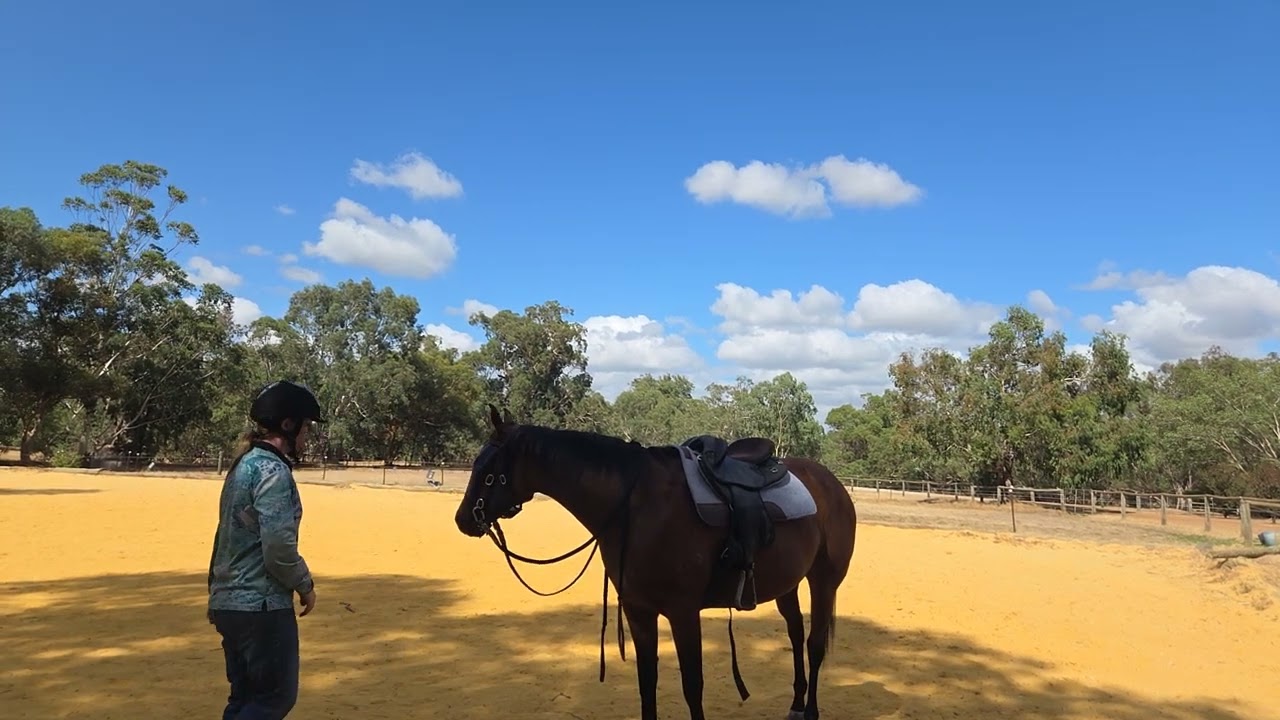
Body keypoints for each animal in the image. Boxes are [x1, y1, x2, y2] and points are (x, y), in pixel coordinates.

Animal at [453, 404, 858, 720]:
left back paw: (811, 710)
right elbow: (647, 682)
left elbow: (692, 685)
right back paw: (796, 703)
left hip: (824, 581)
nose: (463, 519)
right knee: (795, 634)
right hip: (787, 583)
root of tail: (831, 482)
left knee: (814, 643)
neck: (636, 506)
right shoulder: (638, 611)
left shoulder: (683, 612)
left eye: (487, 468)